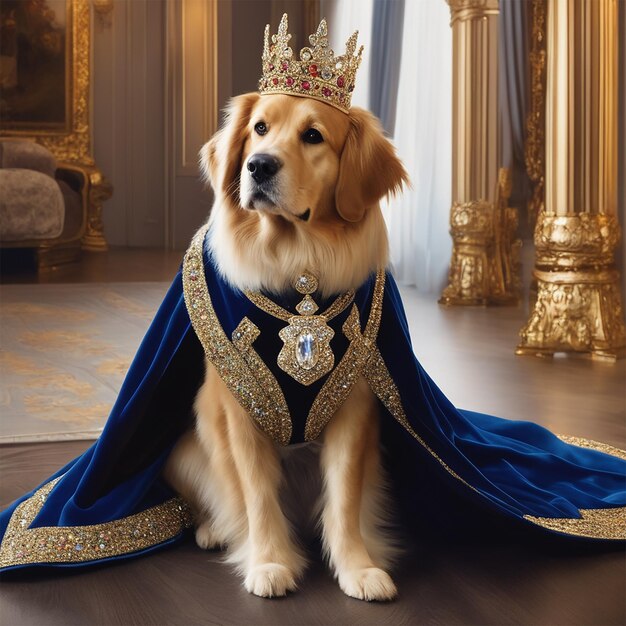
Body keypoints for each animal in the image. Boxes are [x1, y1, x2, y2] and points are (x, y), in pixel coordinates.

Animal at [163, 92, 408, 600]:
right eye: (259, 128)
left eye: (313, 135)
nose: (258, 165)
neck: (297, 261)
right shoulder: (239, 410)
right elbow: (256, 495)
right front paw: (269, 562)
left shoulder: (354, 408)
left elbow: (345, 499)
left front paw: (358, 567)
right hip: (185, 453)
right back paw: (214, 529)